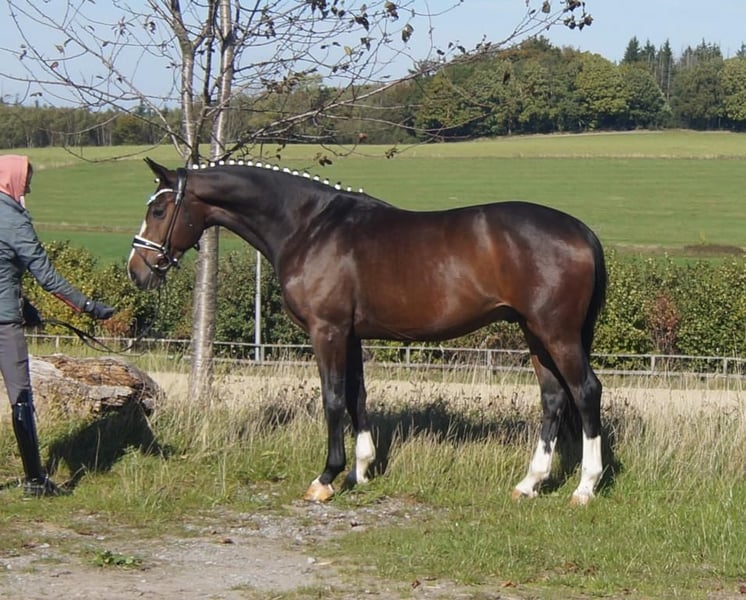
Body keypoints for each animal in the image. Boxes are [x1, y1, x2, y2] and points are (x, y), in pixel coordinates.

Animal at [127, 157, 607, 505]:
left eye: (158, 209)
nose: (137, 270)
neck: (309, 226)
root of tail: (581, 230)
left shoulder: (327, 331)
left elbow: (333, 399)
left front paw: (326, 478)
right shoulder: (351, 334)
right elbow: (358, 396)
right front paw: (360, 470)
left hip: (556, 332)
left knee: (586, 392)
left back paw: (584, 487)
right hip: (534, 334)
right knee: (553, 398)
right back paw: (530, 483)